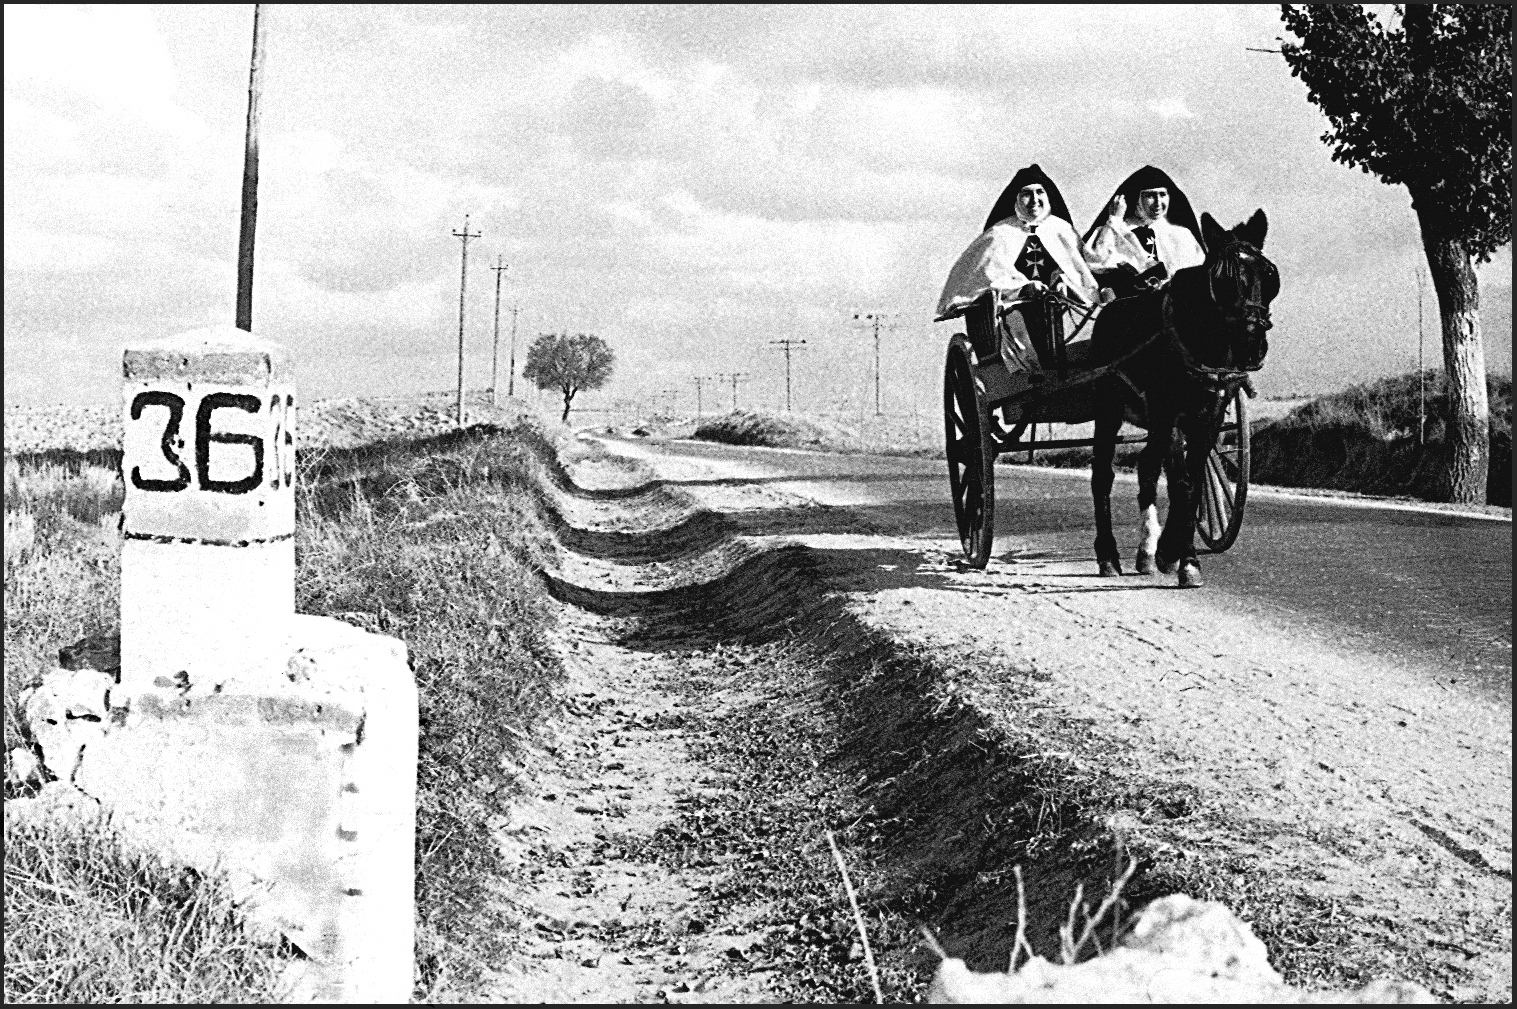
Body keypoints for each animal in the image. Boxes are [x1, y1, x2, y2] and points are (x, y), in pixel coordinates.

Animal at [1092, 207, 1280, 585]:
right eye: (1221, 277)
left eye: (1269, 274)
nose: (1251, 342)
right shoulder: (1169, 413)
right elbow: (1182, 483)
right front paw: (1174, 554)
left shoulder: (1210, 413)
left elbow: (1195, 482)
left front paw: (1183, 556)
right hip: (1108, 409)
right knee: (1103, 474)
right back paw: (1108, 555)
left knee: (1147, 466)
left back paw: (1146, 552)